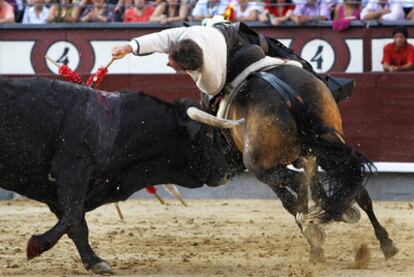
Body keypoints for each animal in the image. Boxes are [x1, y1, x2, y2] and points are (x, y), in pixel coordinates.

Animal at [189, 64, 400, 260]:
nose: (218, 176)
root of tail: (282, 91)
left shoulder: (273, 170)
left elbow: (289, 201)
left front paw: (316, 239)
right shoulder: (311, 153)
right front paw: (329, 209)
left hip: (260, 167)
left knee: (298, 186)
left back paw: (314, 232)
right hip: (330, 141)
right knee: (357, 187)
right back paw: (385, 243)